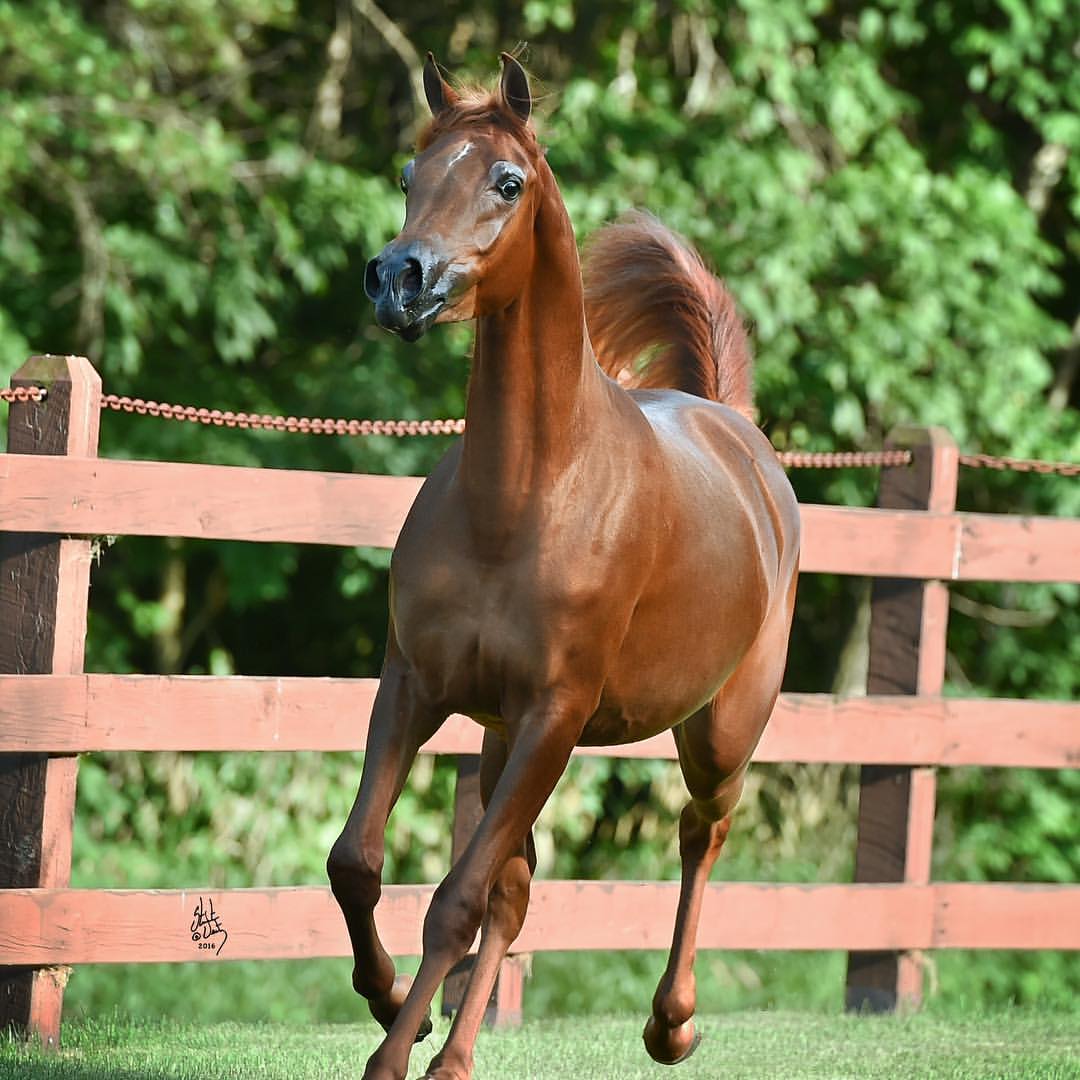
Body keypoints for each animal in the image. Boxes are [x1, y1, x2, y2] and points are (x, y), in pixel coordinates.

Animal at [324, 52, 799, 1080]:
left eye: (507, 182)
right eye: (410, 176)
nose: (398, 279)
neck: (521, 500)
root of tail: (736, 431)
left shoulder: (556, 713)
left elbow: (455, 901)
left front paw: (390, 1054)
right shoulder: (416, 686)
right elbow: (361, 863)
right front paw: (389, 1005)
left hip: (717, 733)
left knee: (701, 833)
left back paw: (672, 1024)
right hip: (502, 737)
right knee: (517, 890)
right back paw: (455, 1056)